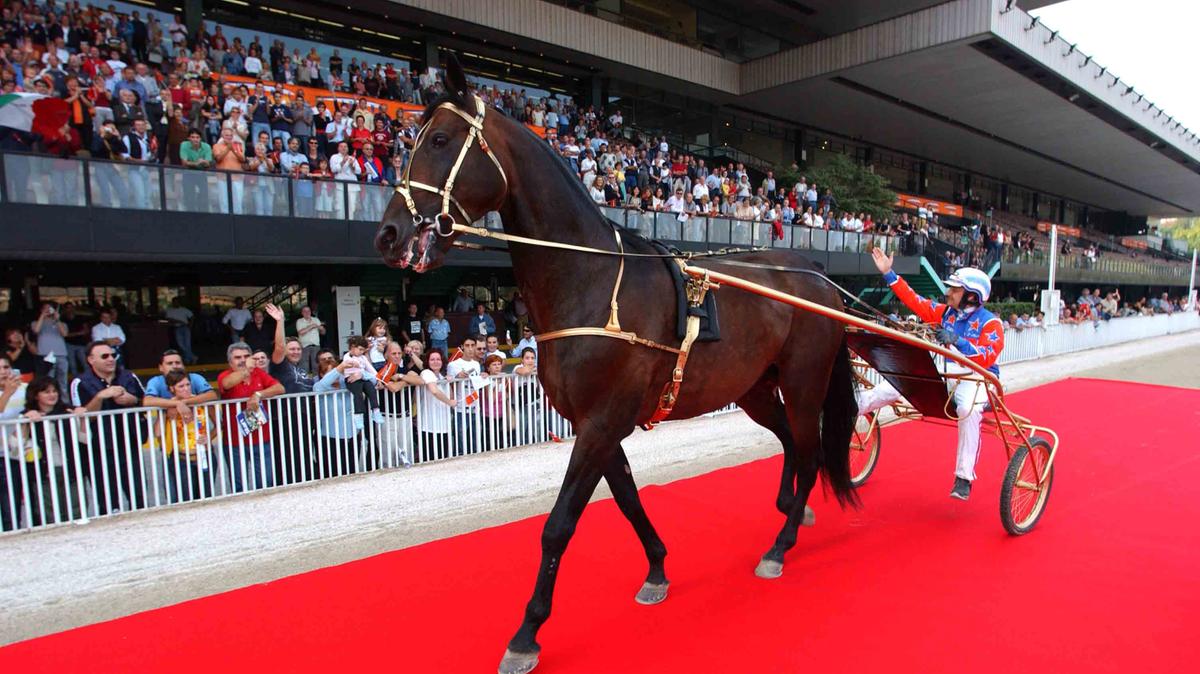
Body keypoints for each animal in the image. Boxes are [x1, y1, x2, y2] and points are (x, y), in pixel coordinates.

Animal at [375, 55, 859, 674]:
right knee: (794, 446)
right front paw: (657, 567)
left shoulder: (602, 422)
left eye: (438, 139)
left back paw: (782, 543)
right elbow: (627, 498)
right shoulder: (595, 423)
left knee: (810, 446)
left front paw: (527, 631)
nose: (389, 233)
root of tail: (817, 276)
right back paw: (788, 511)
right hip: (754, 387)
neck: (592, 279)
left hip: (802, 382)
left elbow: (559, 525)